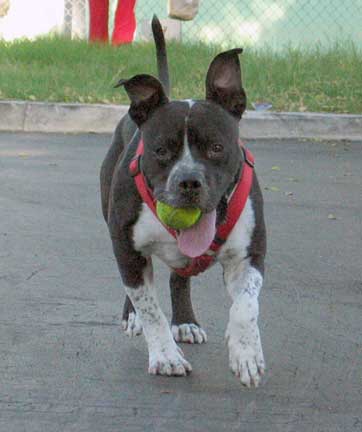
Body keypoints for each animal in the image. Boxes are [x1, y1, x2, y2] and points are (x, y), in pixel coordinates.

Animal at [100, 16, 268, 388]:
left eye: (217, 147)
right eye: (161, 150)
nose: (188, 181)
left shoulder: (250, 255)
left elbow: (246, 306)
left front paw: (246, 352)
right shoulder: (126, 247)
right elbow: (150, 308)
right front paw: (165, 355)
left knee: (180, 277)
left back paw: (186, 322)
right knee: (139, 291)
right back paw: (134, 318)